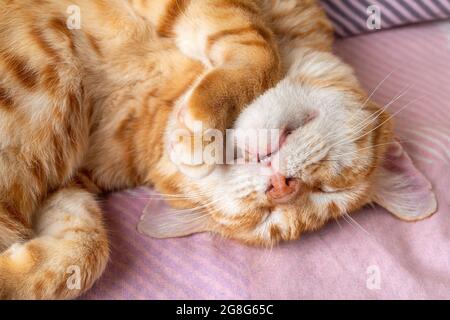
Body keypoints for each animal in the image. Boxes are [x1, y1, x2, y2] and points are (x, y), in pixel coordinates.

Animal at [0, 0, 436, 300]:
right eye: (329, 190)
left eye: (263, 219)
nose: (281, 187)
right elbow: (256, 42)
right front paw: (201, 125)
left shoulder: (70, 185)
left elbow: (86, 248)